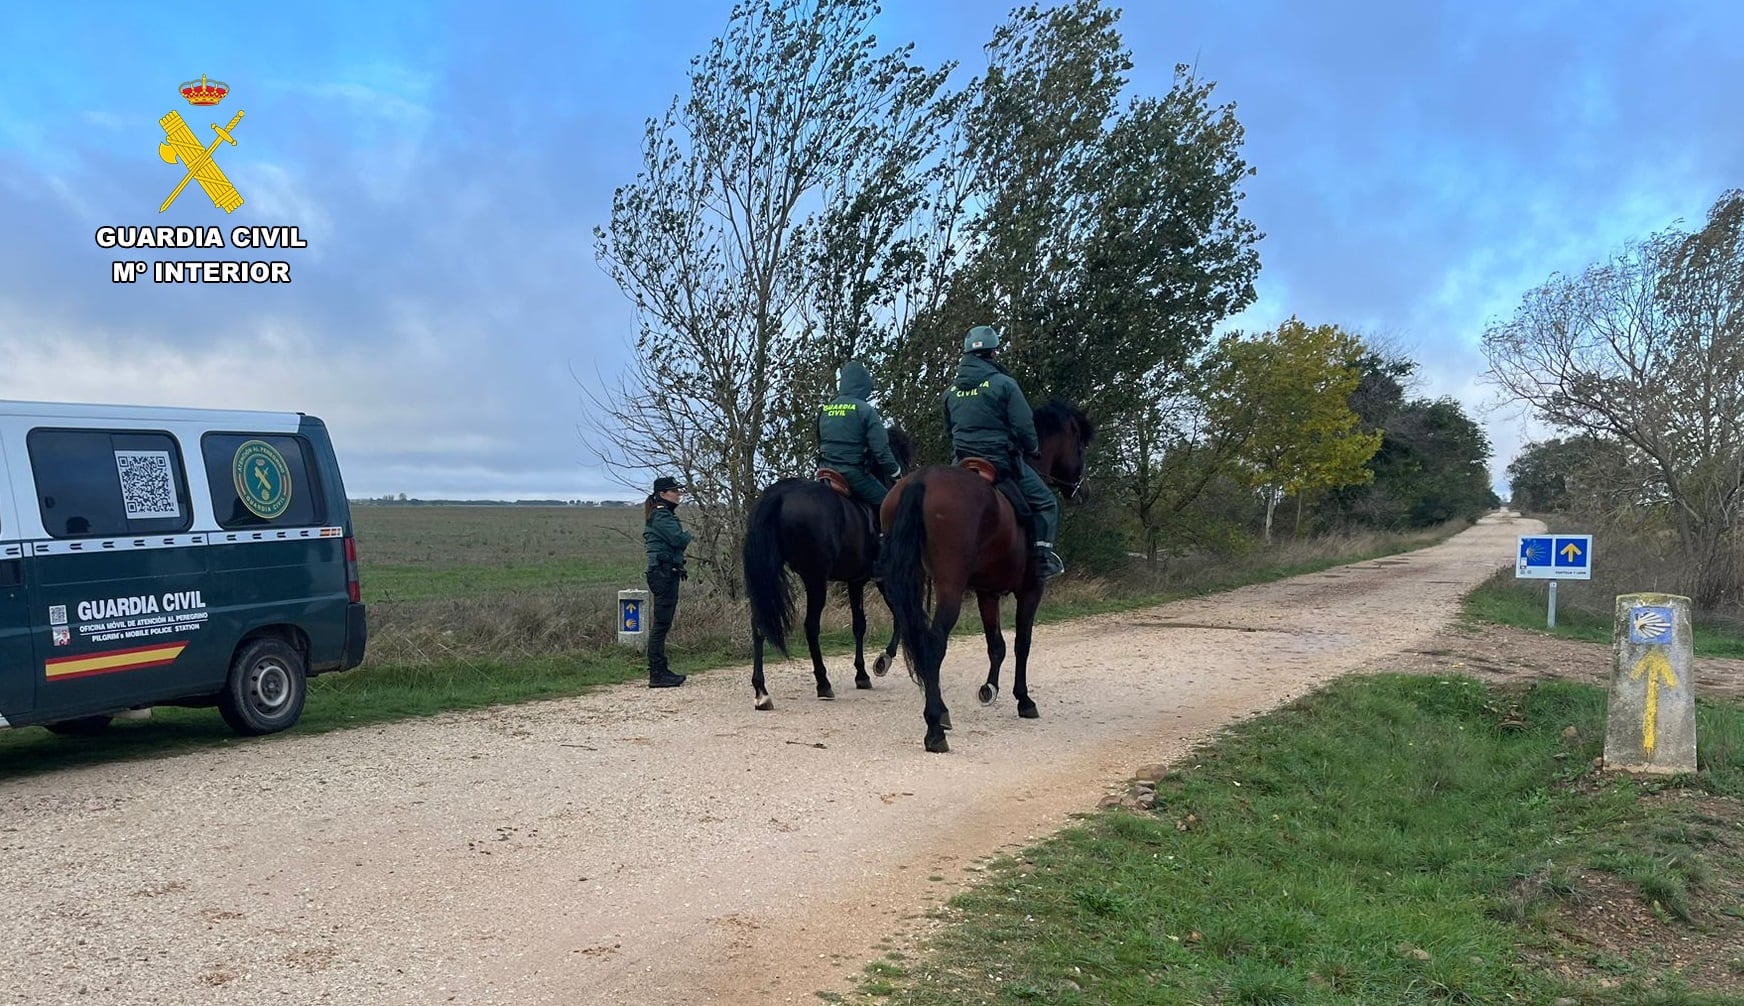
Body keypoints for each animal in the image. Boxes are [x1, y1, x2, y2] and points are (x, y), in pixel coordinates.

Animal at [742, 427, 920, 711]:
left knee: (759, 624)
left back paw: (762, 692)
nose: (904, 480)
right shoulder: (883, 579)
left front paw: (862, 674)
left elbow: (859, 624)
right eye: (902, 456)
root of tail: (780, 494)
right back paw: (823, 683)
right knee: (811, 626)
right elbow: (897, 615)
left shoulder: (855, 581)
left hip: (768, 577)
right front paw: (882, 660)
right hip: (815, 579)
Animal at [878, 401, 1095, 753]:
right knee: (934, 643)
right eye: (1079, 445)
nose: (1082, 490)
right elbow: (1022, 643)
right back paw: (934, 729)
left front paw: (989, 688)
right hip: (949, 587)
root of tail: (921, 481)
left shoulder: (987, 593)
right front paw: (1024, 700)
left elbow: (996, 644)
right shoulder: (1031, 590)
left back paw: (940, 713)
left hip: (910, 582)